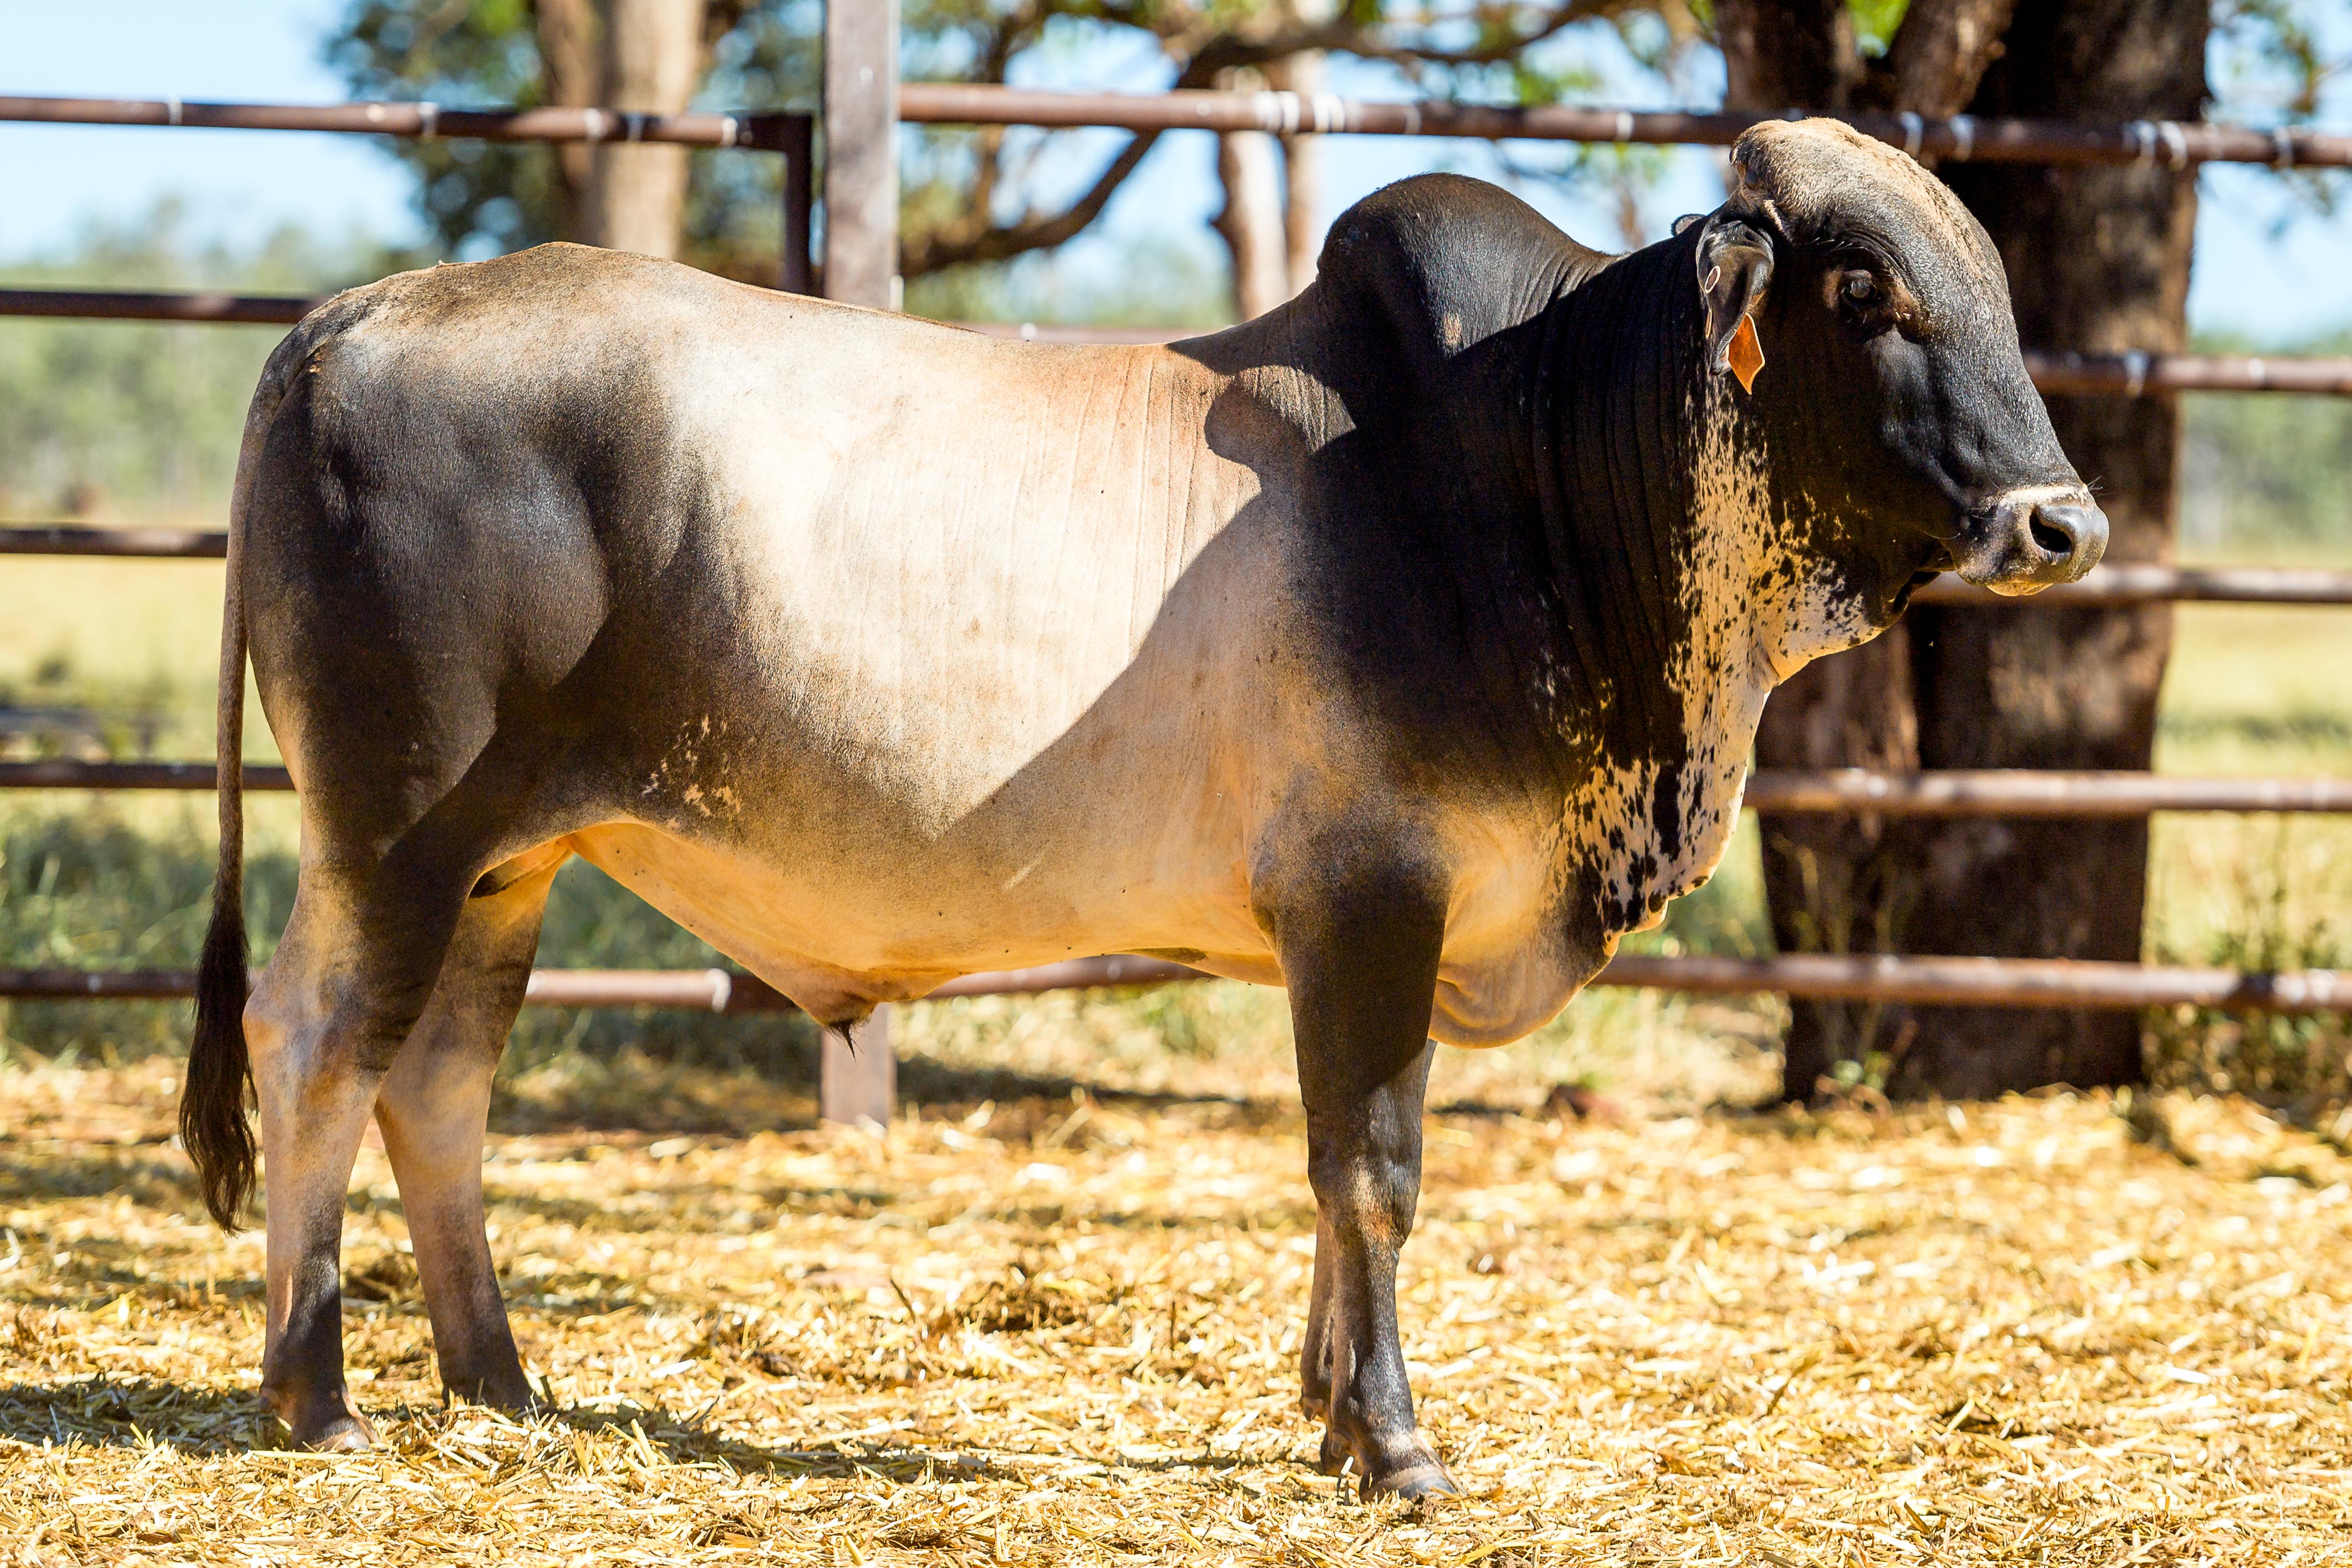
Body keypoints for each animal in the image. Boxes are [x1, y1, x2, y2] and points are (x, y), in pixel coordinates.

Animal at [179, 116, 2098, 1495]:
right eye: (1864, 294)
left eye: (1994, 291)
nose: (2060, 523)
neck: (1525, 468)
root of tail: (337, 324)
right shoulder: (1367, 896)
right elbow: (1372, 1169)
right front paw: (1395, 1445)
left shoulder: (1373, 929)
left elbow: (1342, 1171)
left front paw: (1329, 1410)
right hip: (398, 834)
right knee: (314, 1046)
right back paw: (313, 1396)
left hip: (509, 864)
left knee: (436, 1087)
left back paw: (502, 1385)